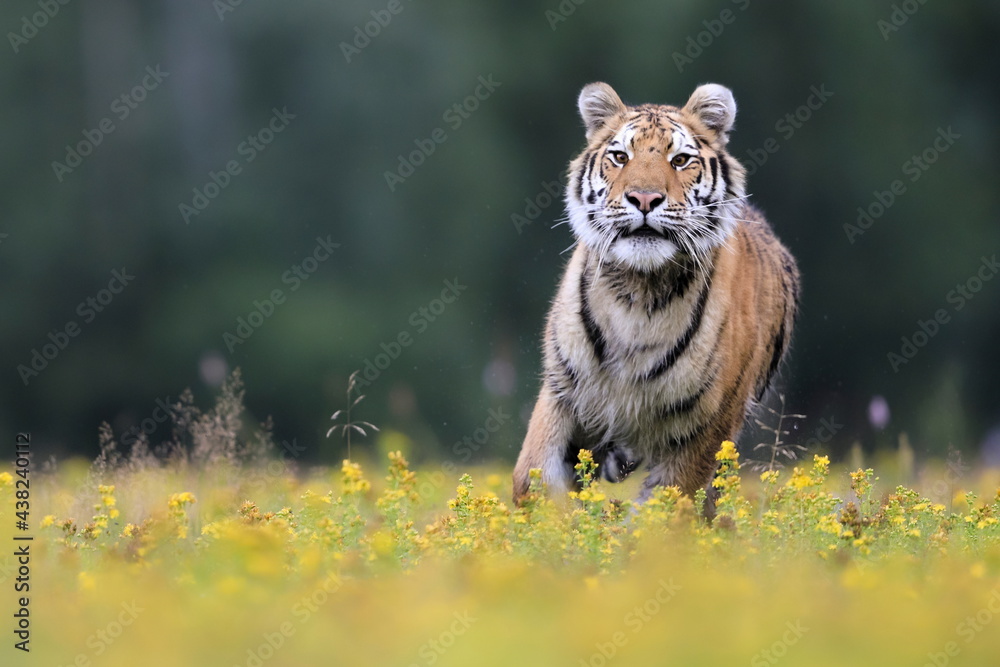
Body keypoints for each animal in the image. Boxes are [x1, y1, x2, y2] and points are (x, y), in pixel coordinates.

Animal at [512, 82, 800, 510]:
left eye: (680, 160)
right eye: (620, 157)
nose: (644, 199)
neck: (637, 290)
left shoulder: (703, 431)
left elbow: (662, 510)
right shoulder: (562, 395)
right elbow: (534, 481)